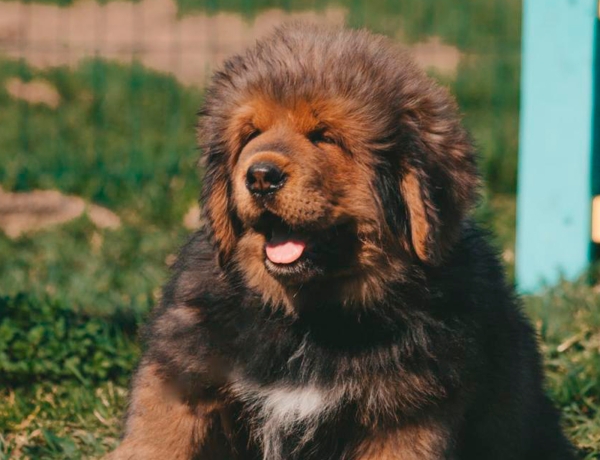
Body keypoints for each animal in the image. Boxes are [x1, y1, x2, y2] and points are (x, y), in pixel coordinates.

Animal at [108, 24, 575, 460]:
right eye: (250, 135)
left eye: (325, 136)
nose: (259, 176)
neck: (310, 320)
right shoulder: (184, 382)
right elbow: (159, 440)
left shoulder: (405, 421)